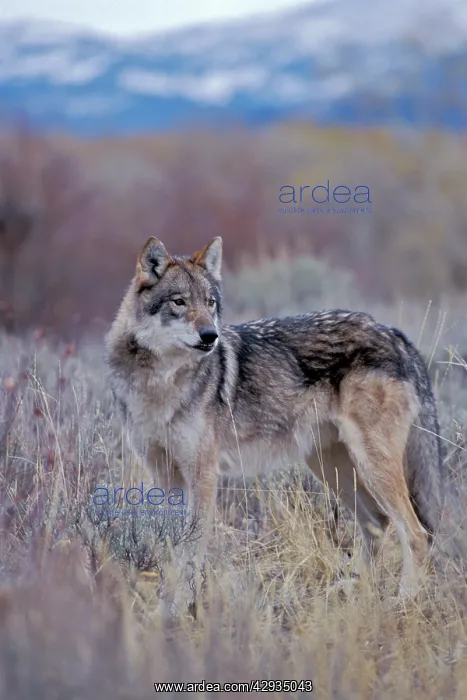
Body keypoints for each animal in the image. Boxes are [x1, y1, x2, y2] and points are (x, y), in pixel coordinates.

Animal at [105, 236, 444, 602]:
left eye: (210, 303)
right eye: (179, 302)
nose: (210, 336)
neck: (160, 382)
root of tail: (394, 333)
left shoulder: (203, 475)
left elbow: (191, 549)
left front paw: (181, 603)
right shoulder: (165, 476)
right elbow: (171, 545)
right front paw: (168, 599)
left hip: (369, 464)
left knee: (416, 532)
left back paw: (404, 599)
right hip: (332, 467)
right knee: (378, 523)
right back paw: (354, 589)